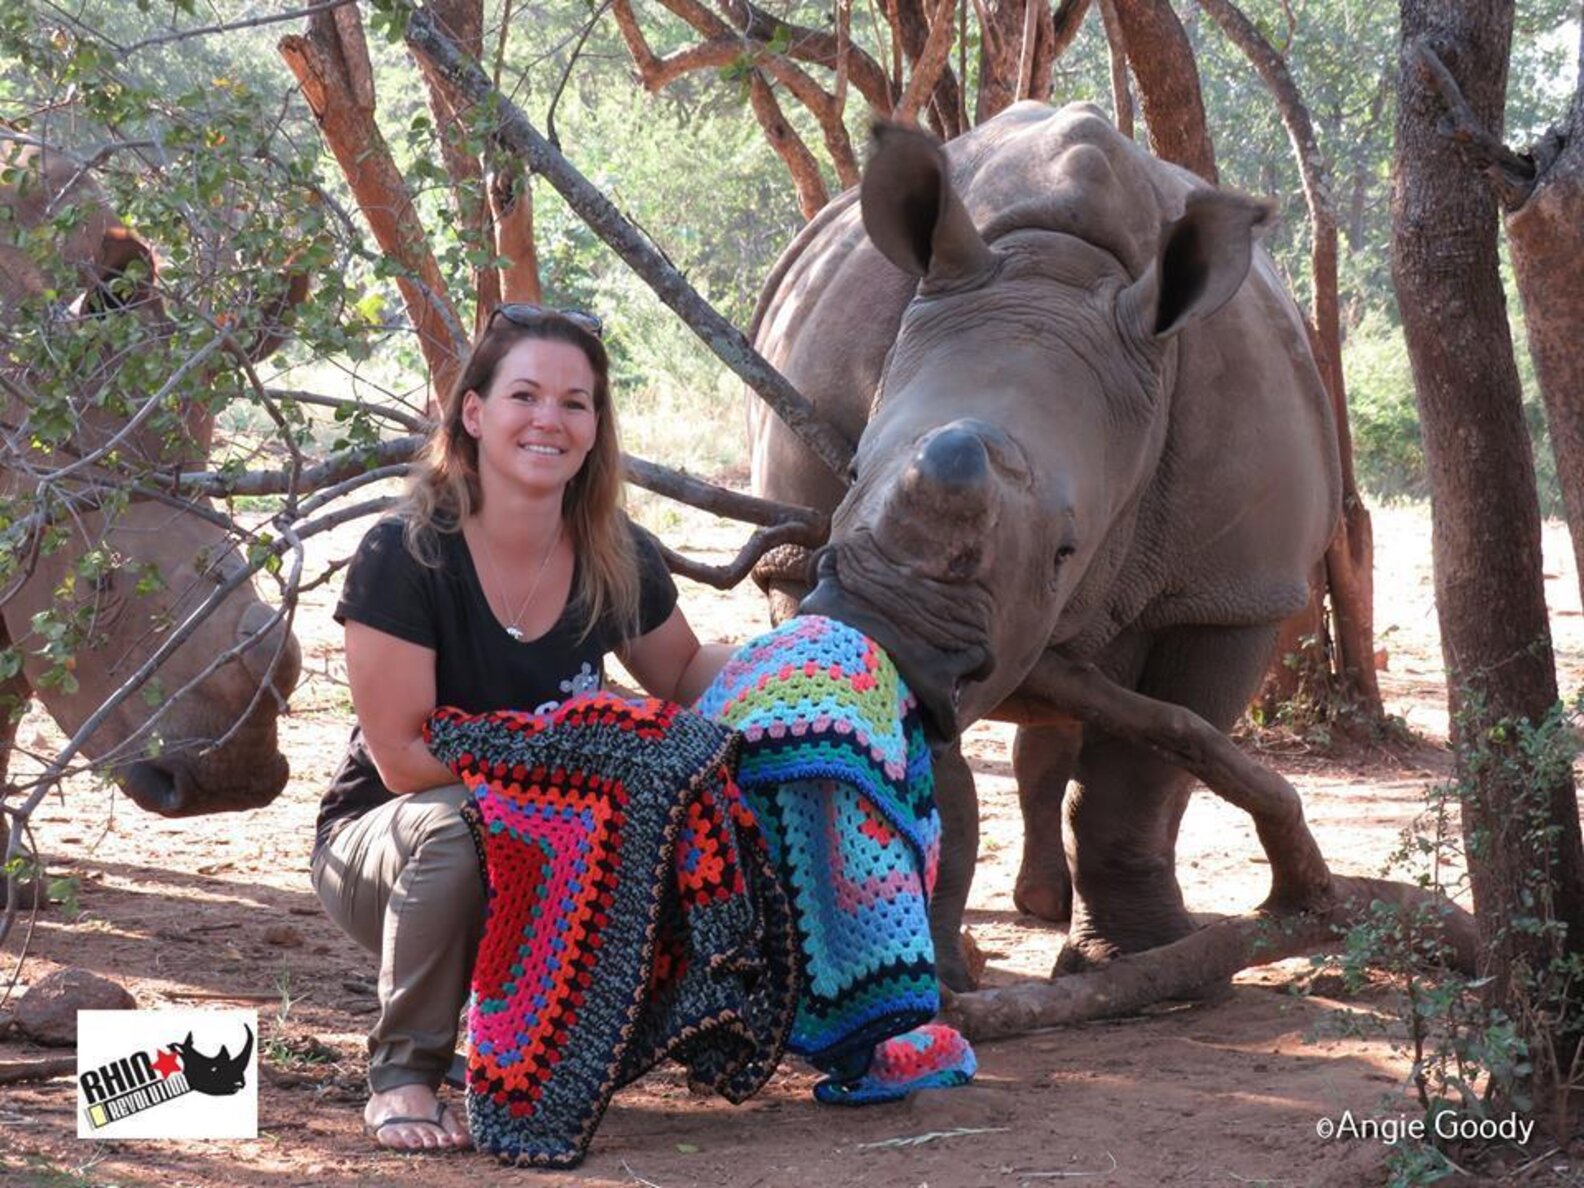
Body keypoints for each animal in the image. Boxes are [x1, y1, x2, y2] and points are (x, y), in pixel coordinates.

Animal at [750, 103, 1341, 989]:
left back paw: (1052, 911)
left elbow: (1138, 780)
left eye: (1069, 549)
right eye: (851, 471)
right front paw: (937, 970)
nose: (888, 637)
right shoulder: (800, 561)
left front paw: (1133, 959)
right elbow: (938, 783)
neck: (1054, 270)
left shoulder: (1232, 594)